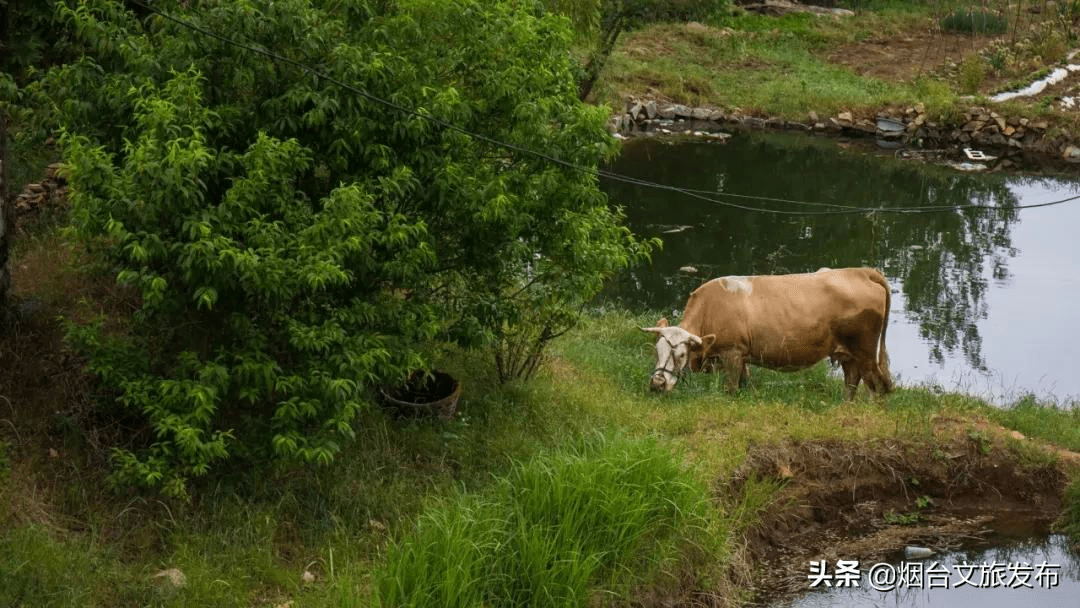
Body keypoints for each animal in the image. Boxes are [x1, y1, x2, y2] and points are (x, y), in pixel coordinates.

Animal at [639, 268, 894, 401]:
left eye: (681, 354)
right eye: (656, 351)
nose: (657, 383)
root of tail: (860, 271)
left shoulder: (732, 353)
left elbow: (731, 388)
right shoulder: (741, 357)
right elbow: (745, 383)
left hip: (865, 352)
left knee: (878, 385)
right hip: (848, 353)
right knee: (852, 380)